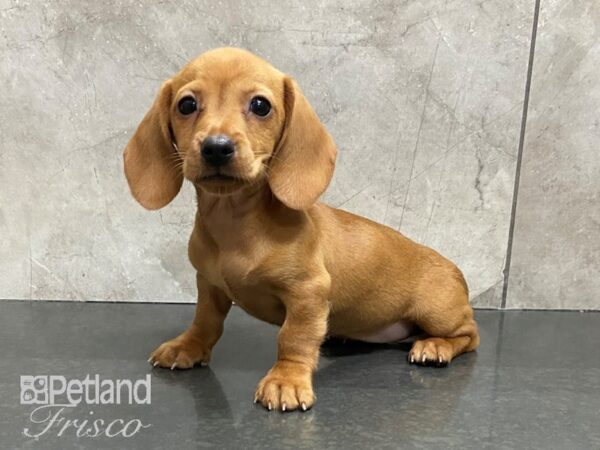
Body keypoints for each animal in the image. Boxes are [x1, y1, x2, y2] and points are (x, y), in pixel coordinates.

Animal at [124, 47, 480, 414]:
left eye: (260, 105)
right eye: (186, 105)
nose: (216, 147)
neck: (235, 223)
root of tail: (454, 268)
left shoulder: (307, 293)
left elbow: (293, 338)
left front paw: (287, 380)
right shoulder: (209, 286)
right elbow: (205, 320)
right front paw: (189, 346)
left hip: (438, 312)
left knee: (470, 334)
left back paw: (435, 347)